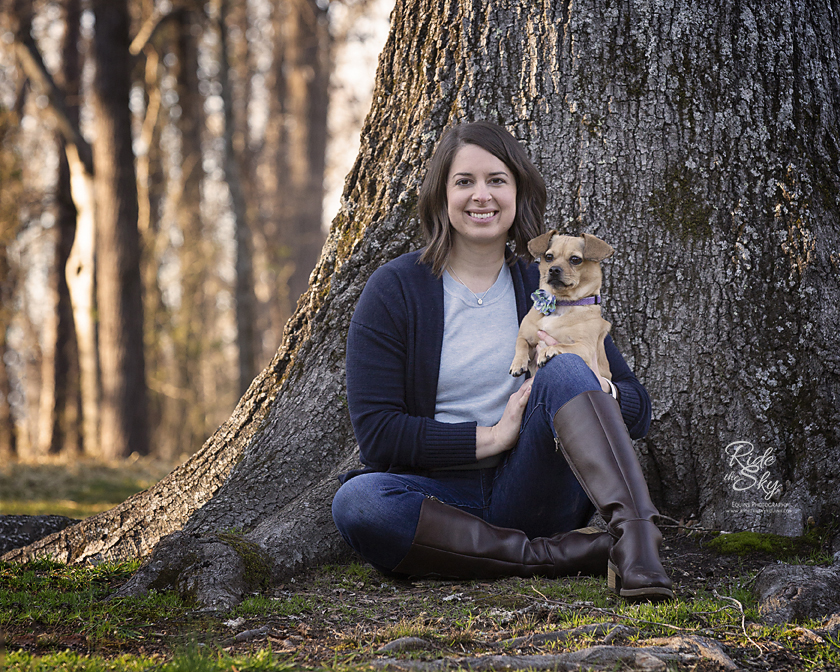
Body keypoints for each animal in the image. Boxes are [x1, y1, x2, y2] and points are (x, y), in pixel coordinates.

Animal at [508, 231, 612, 378]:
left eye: (575, 259)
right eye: (549, 257)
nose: (554, 270)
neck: (561, 303)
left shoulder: (585, 347)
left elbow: (563, 346)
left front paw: (548, 350)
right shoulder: (527, 338)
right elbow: (521, 343)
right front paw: (518, 363)